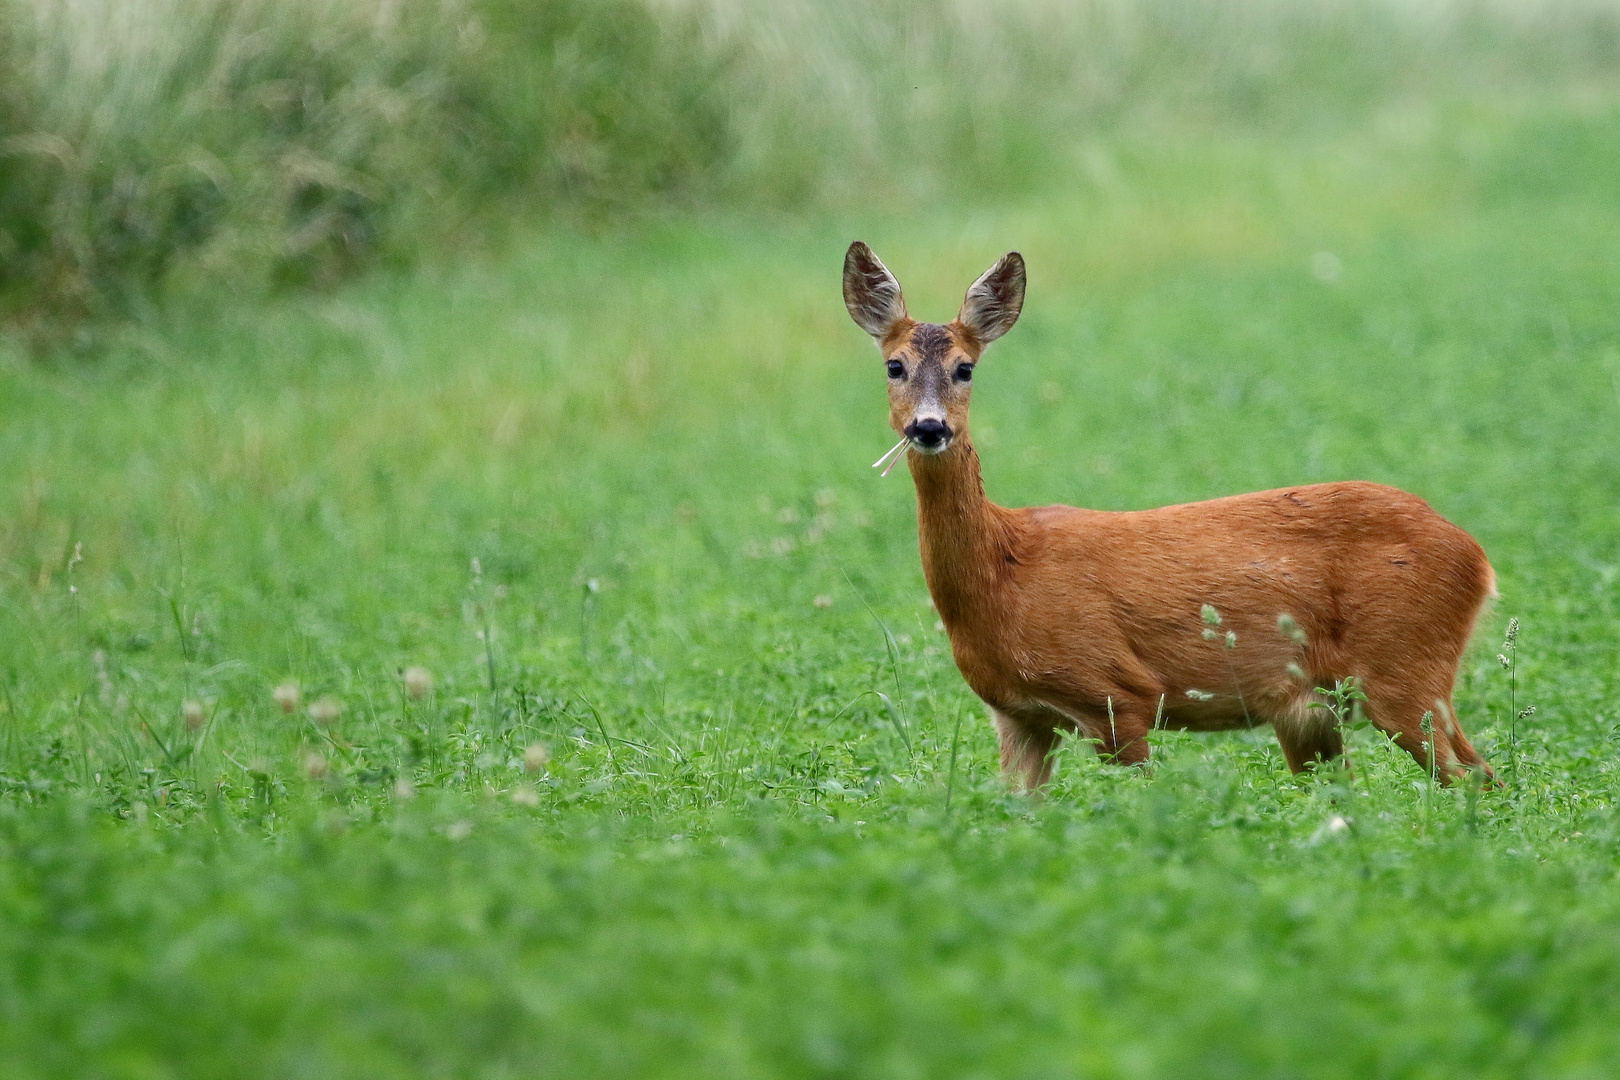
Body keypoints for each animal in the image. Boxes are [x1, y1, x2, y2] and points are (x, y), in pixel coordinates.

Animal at [848, 241, 1490, 790]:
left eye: (966, 368)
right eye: (894, 366)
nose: (929, 428)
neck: (1004, 570)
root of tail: (1476, 557)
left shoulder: (1117, 693)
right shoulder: (1019, 715)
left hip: (1402, 666)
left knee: (1471, 778)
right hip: (1321, 709)